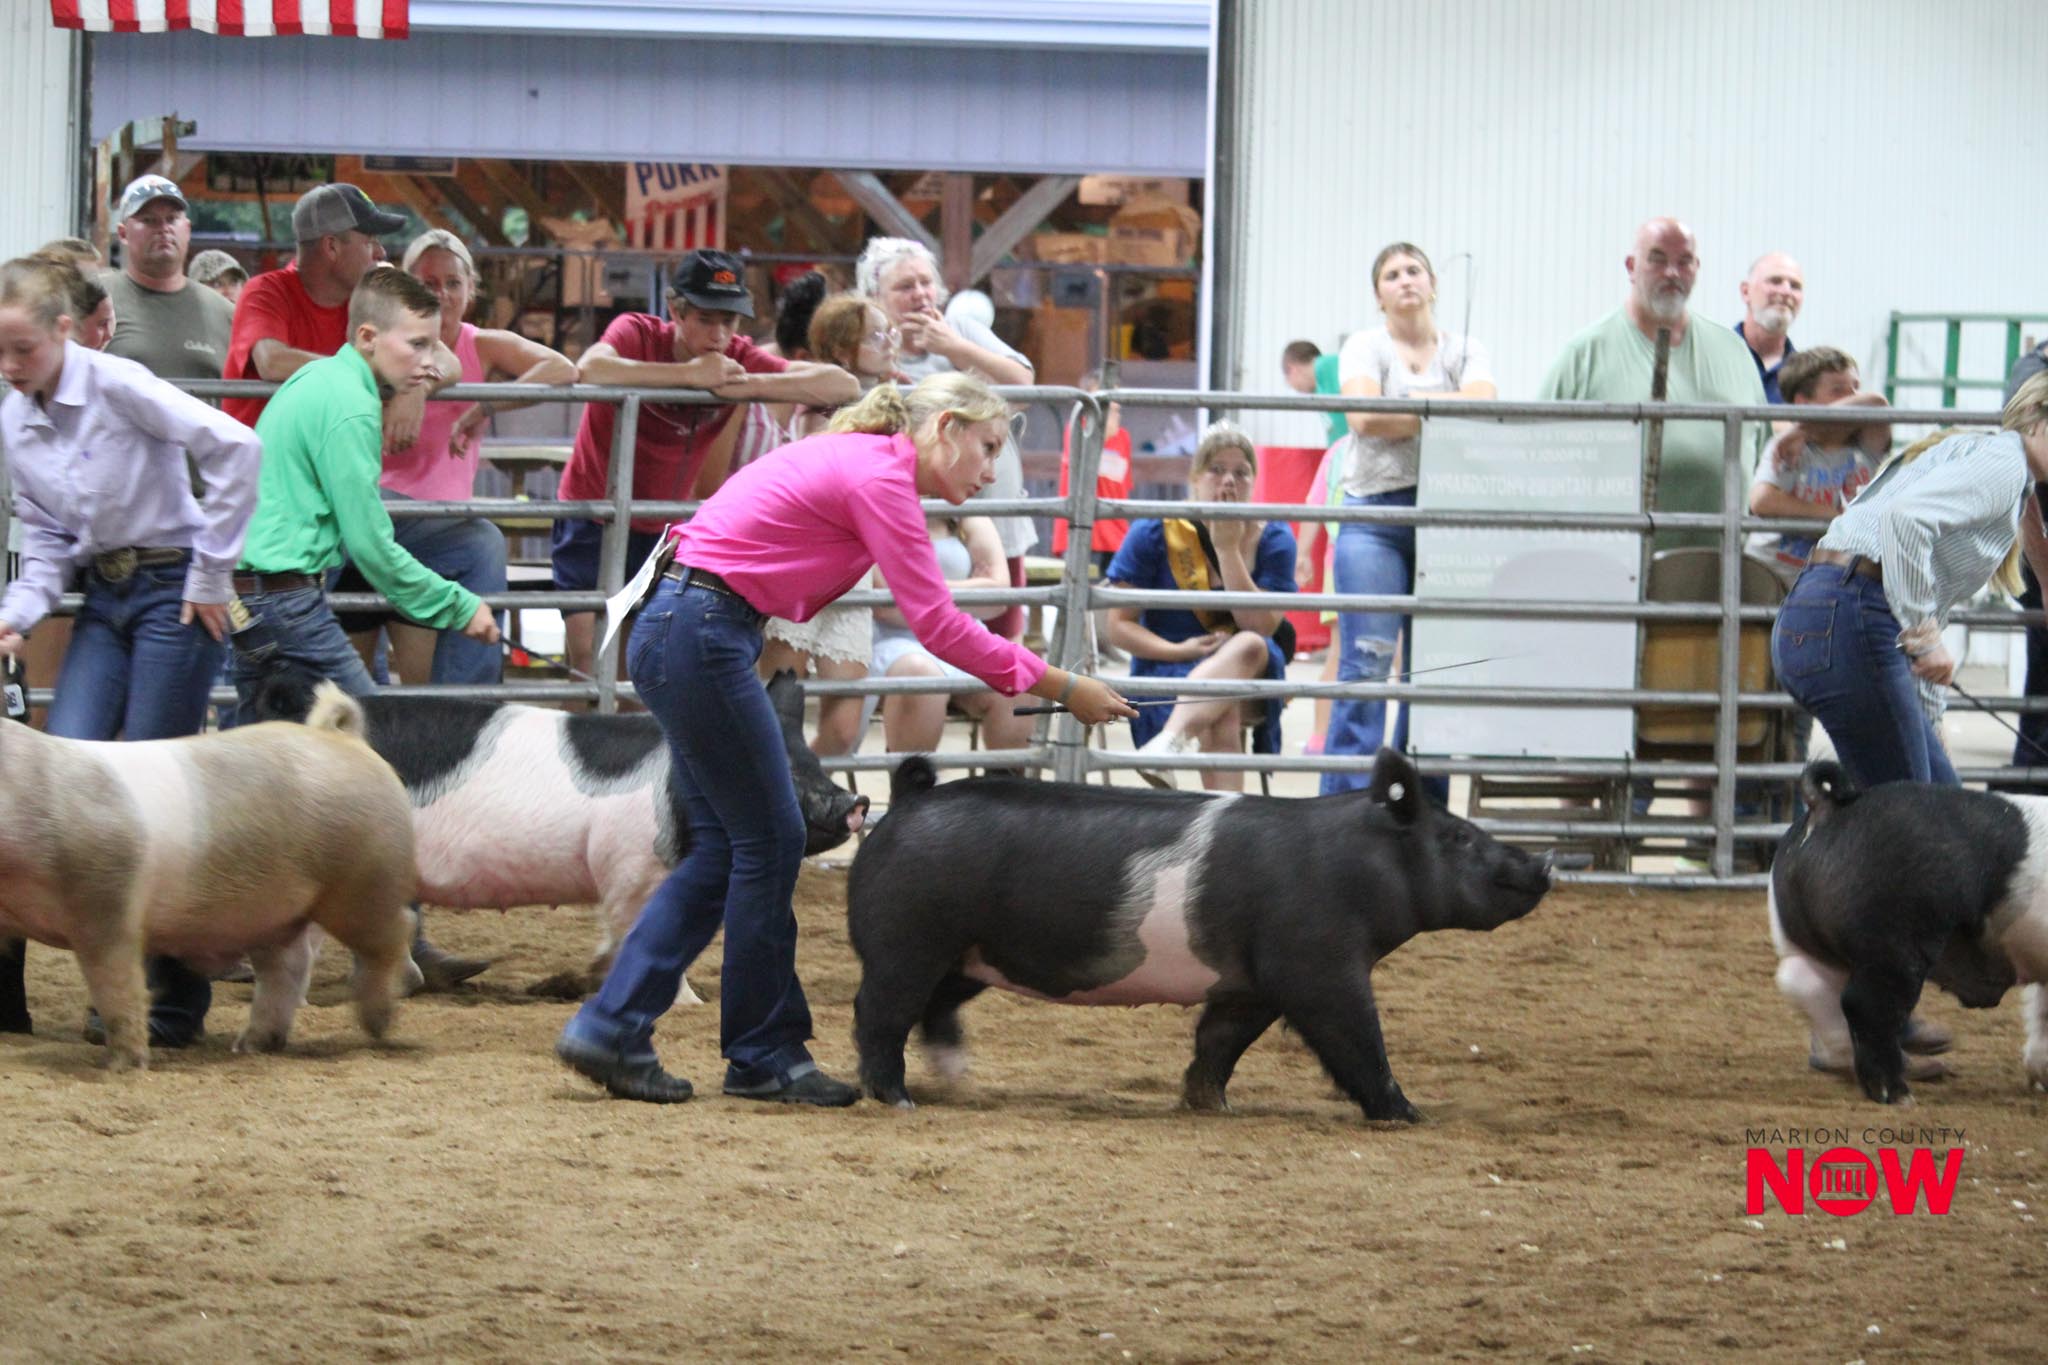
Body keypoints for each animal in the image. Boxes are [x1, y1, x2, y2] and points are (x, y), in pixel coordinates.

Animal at [0, 683, 415, 1070]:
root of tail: (344, 738)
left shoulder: (106, 901)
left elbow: (118, 988)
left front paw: (123, 1066)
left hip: (363, 883)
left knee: (393, 934)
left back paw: (379, 1022)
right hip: (273, 914)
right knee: (287, 969)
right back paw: (250, 1045)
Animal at [245, 669, 867, 997]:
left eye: (814, 760)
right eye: (783, 773)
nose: (857, 802)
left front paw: (585, 979)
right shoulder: (629, 861)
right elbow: (635, 928)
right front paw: (681, 1000)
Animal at [846, 748, 1554, 1121]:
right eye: (1458, 837)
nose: (1543, 862)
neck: (1354, 868)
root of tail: (907, 802)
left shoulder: (1250, 986)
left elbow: (1219, 1041)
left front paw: (1209, 1106)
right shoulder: (1316, 966)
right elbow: (1356, 1039)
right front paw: (1410, 1115)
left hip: (968, 956)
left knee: (933, 1010)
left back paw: (958, 1080)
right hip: (908, 940)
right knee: (878, 1013)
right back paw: (898, 1101)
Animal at [1769, 760, 2048, 1105]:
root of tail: (1827, 807)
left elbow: (2041, 1012)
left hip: (1806, 942)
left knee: (1804, 984)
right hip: (1894, 942)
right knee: (1864, 1004)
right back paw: (1898, 1094)